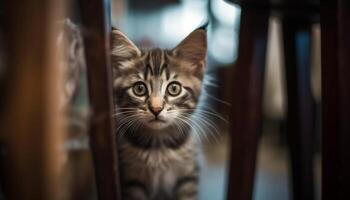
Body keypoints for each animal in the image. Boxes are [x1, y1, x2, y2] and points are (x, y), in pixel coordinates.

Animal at [110, 27, 206, 200]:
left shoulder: (188, 176)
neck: (158, 146)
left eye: (174, 88)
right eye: (139, 89)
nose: (156, 108)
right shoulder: (133, 179)